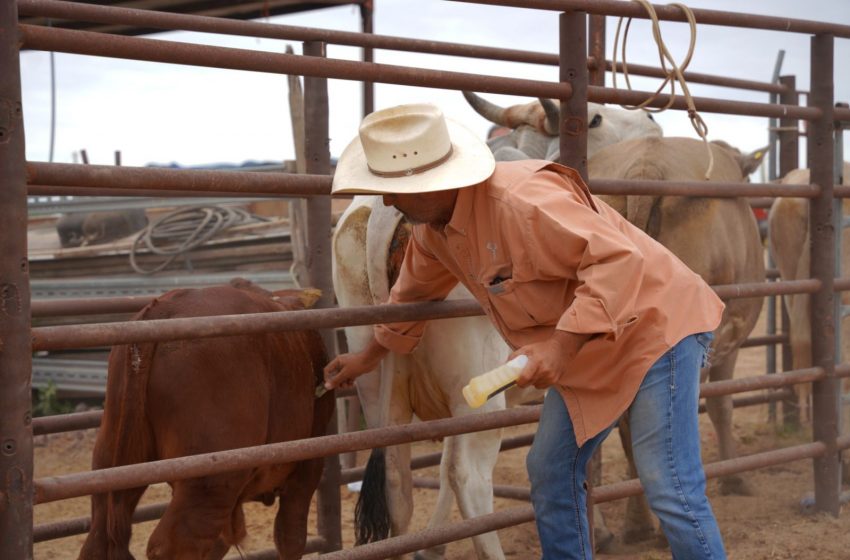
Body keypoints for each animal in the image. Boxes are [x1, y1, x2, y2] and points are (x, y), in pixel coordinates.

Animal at [77, 280, 332, 560]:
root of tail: (163, 308)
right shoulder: (308, 463)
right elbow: (291, 535)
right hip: (210, 482)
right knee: (172, 545)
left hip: (113, 463)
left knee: (97, 538)